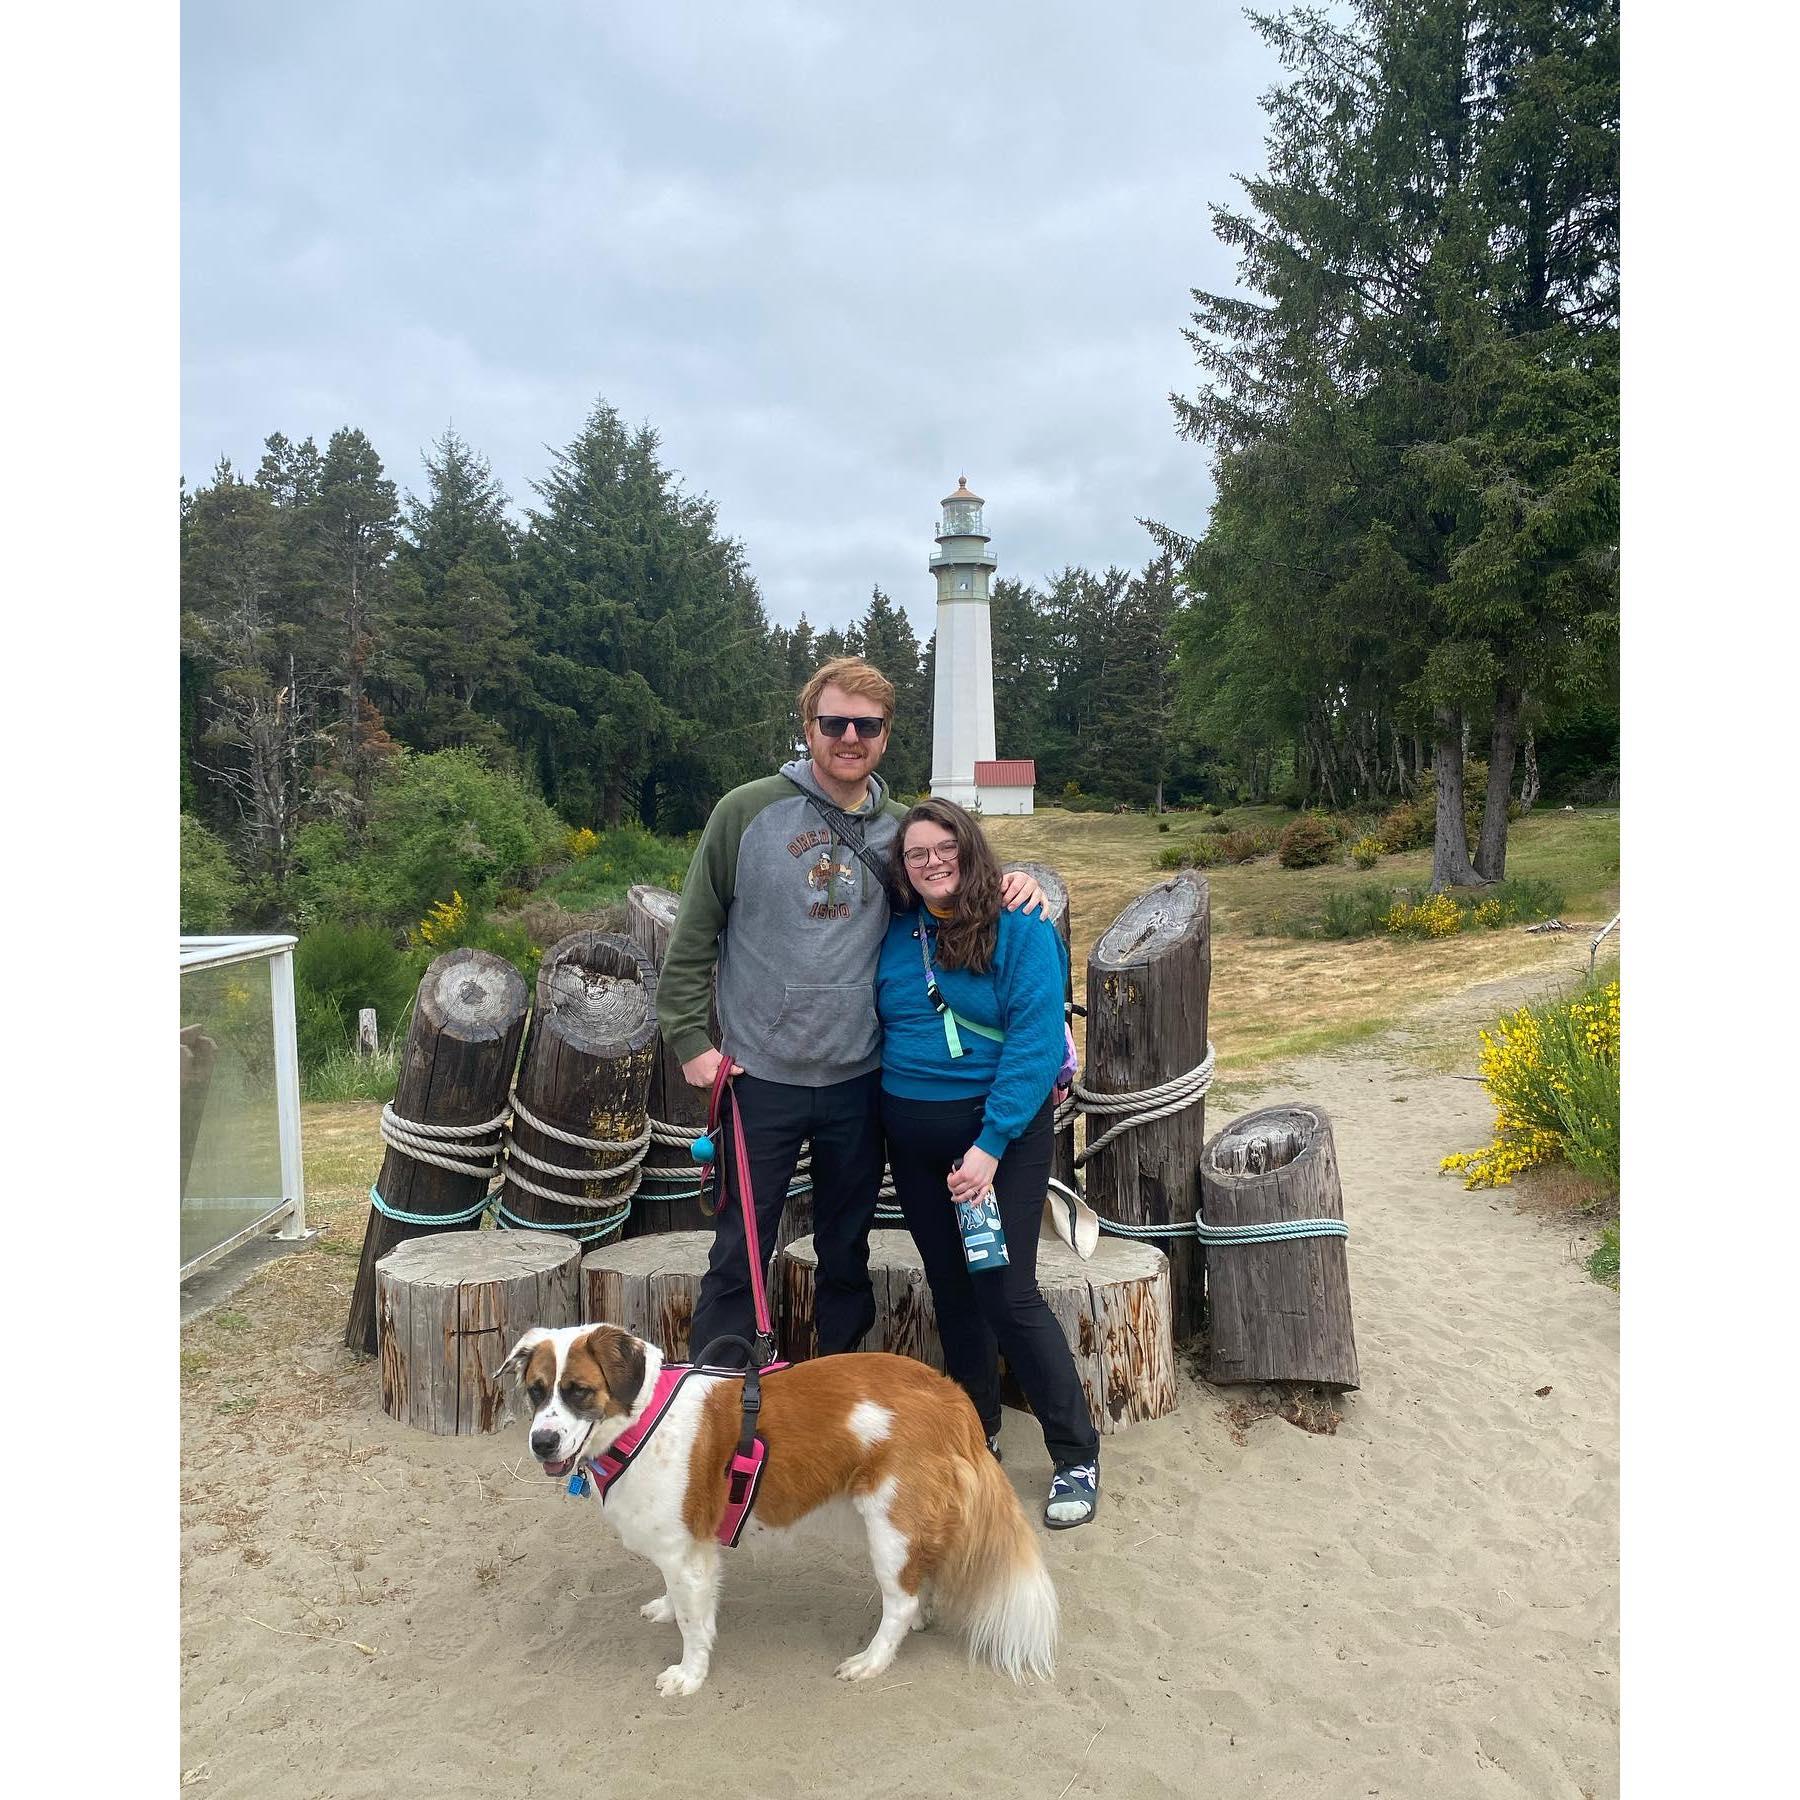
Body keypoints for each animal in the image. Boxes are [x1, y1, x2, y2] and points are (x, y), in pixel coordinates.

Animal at [496, 1324, 1051, 1684]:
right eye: (536, 1392)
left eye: (579, 1392)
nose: (542, 1442)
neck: (642, 1421)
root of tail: (953, 1400)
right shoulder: (682, 1553)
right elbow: (677, 1600)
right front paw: (667, 1609)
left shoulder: (688, 1556)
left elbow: (694, 1624)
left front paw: (689, 1675)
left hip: (889, 1528)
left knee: (900, 1601)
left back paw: (873, 1660)